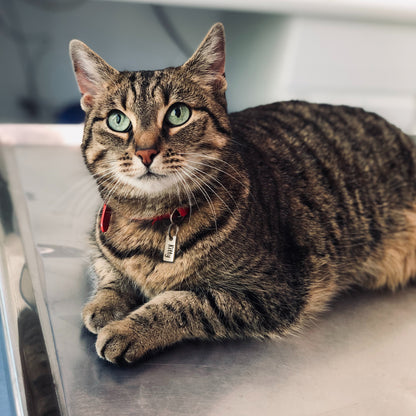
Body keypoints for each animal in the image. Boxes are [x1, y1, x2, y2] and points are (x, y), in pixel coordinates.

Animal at [70, 22, 416, 364]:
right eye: (117, 120)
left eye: (178, 114)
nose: (145, 152)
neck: (152, 223)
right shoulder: (96, 243)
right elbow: (107, 271)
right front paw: (104, 305)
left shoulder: (273, 292)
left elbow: (184, 302)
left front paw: (128, 329)